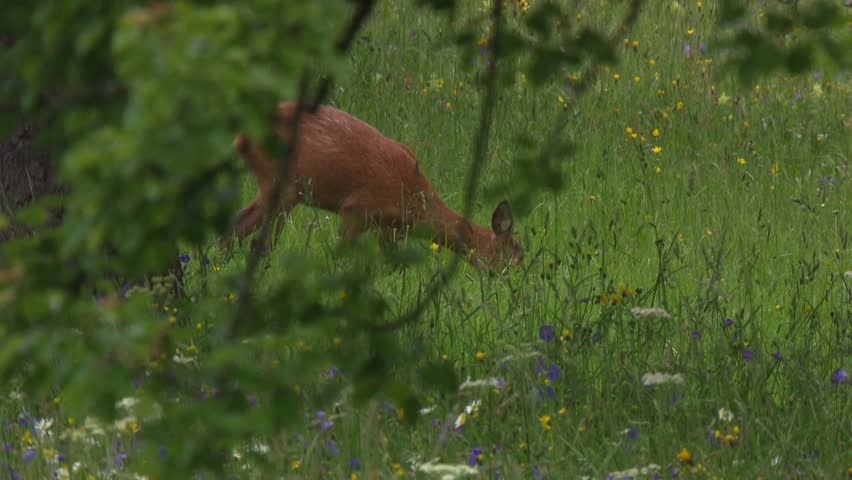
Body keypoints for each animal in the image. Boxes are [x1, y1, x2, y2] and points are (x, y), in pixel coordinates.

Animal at [229, 101, 523, 270]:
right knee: (260, 240)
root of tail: (241, 137)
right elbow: (340, 259)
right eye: (515, 250)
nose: (516, 278)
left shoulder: (392, 228)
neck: (414, 200)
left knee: (237, 225)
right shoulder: (356, 209)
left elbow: (394, 267)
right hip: (282, 185)